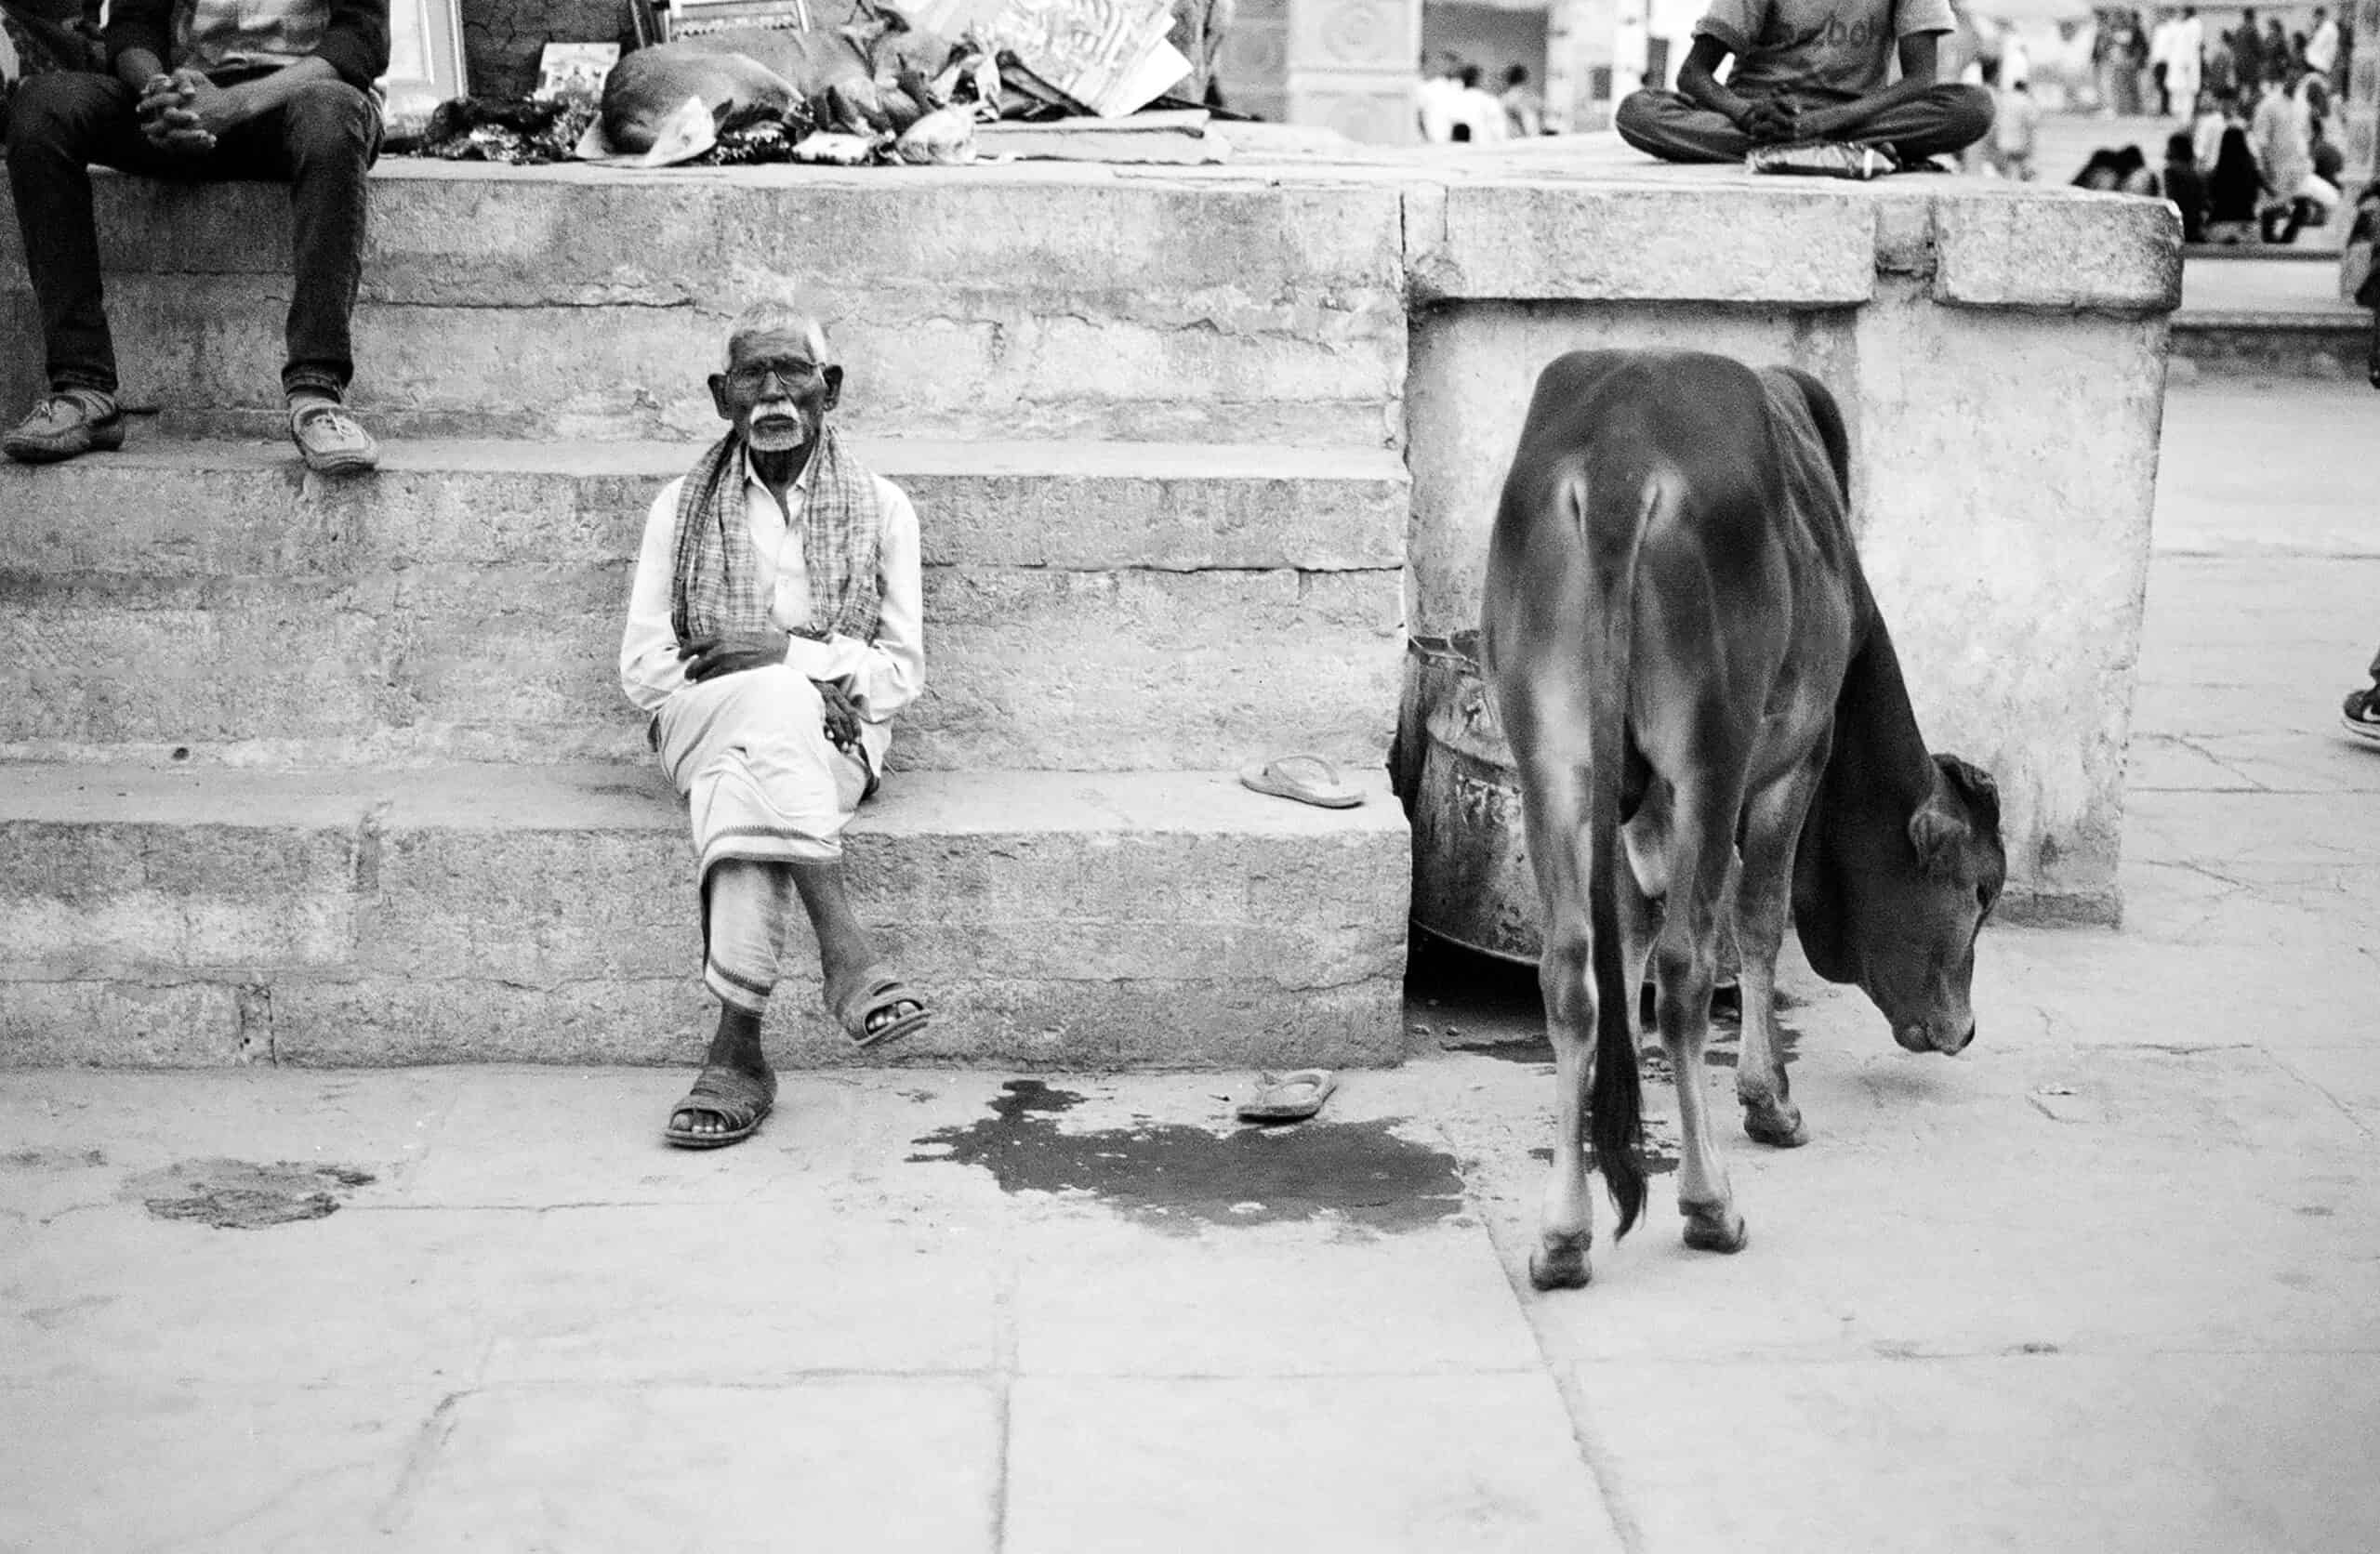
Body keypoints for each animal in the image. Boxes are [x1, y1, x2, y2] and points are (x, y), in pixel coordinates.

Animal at [1479, 349, 2006, 1292]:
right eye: (1981, 892)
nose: (1964, 1029)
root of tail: (1619, 457)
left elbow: (1627, 942)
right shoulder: (1797, 758)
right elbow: (1760, 922)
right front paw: (1770, 1100)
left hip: (1551, 763)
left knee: (1569, 969)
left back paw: (1563, 1234)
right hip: (1711, 758)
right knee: (1691, 965)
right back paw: (1710, 1204)